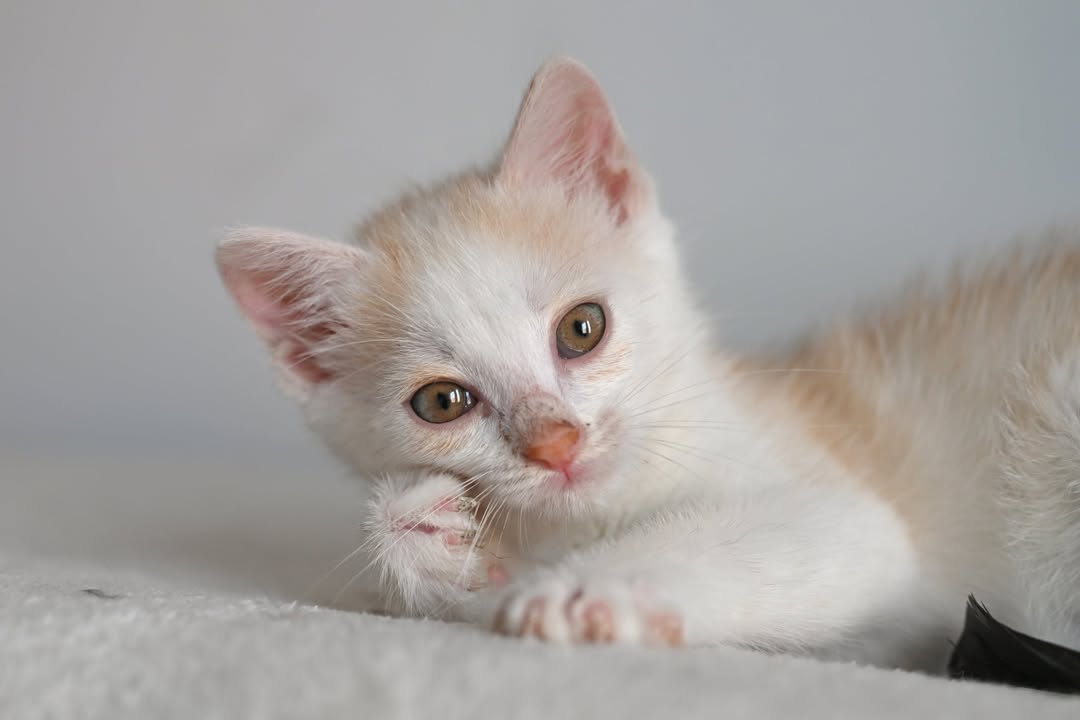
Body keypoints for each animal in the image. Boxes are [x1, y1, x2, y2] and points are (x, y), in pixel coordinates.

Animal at [216, 57, 1080, 672]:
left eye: (581, 329)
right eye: (441, 403)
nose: (556, 443)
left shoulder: (851, 518)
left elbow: (824, 534)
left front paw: (585, 588)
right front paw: (435, 537)